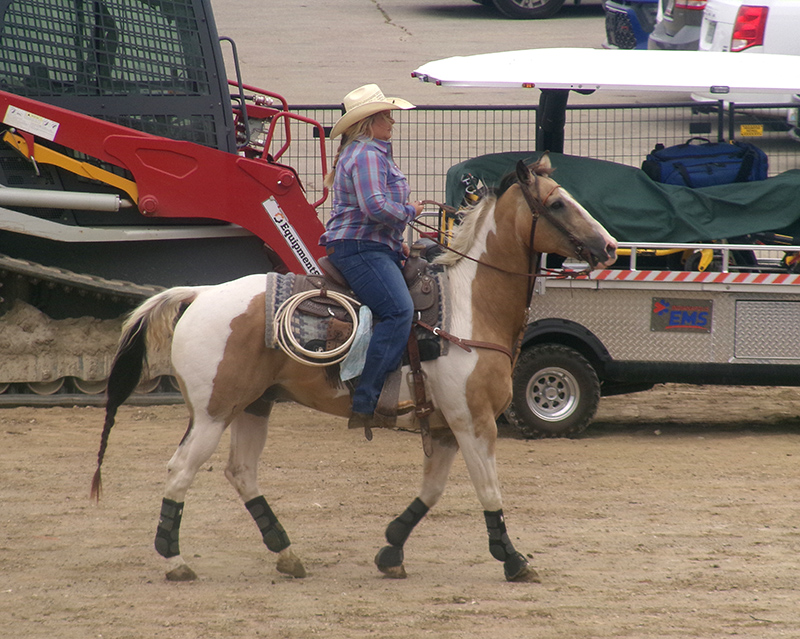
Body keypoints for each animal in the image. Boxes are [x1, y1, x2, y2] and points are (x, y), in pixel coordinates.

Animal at [90, 156, 616, 584]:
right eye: (559, 203)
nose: (610, 247)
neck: (470, 307)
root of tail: (200, 293)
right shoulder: (474, 420)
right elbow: (488, 488)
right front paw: (512, 558)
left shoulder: (446, 425)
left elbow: (432, 490)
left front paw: (391, 550)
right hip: (212, 412)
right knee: (181, 471)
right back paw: (175, 561)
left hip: (254, 405)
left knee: (241, 472)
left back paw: (286, 554)